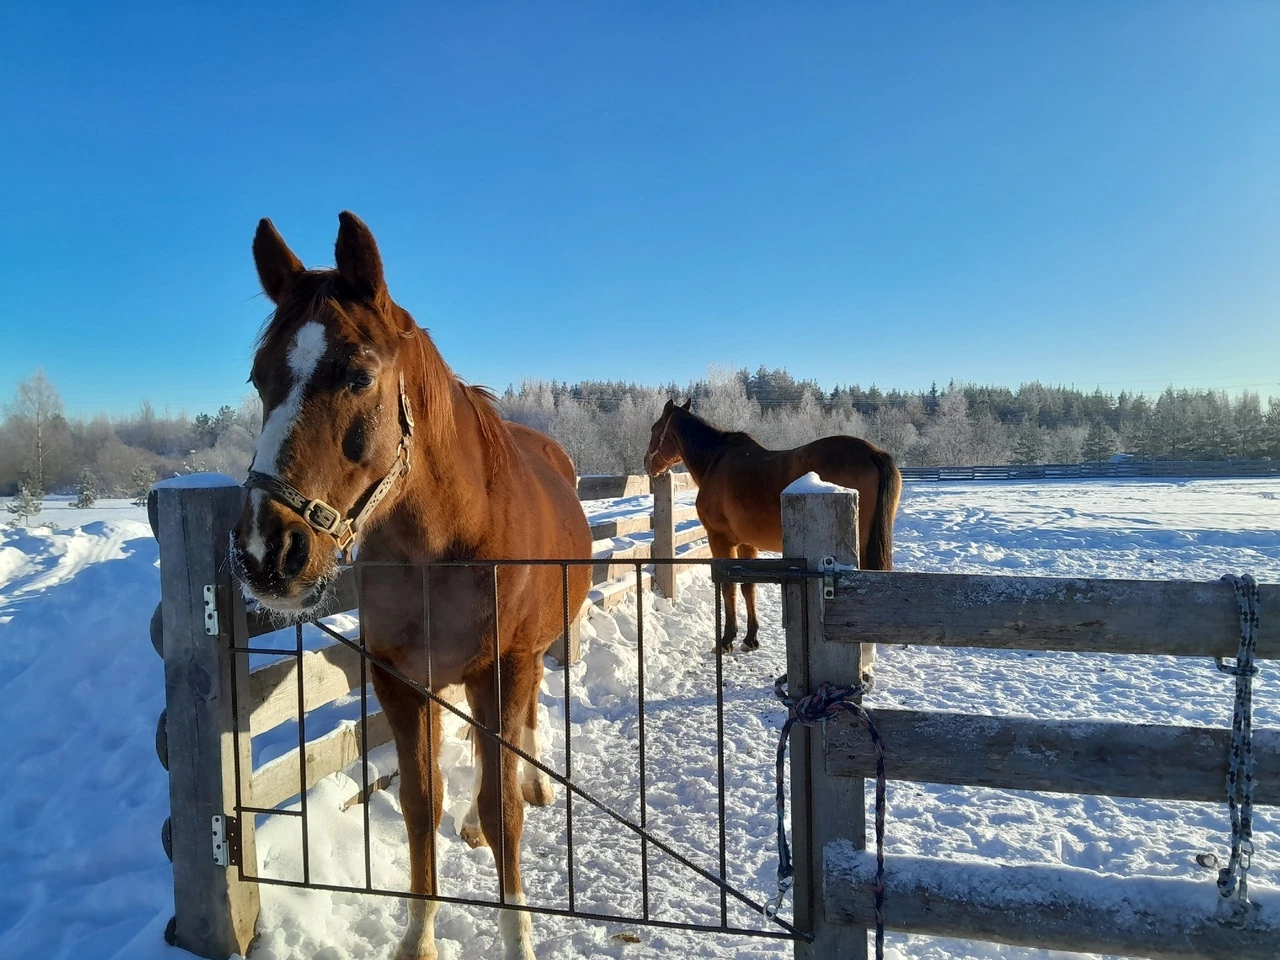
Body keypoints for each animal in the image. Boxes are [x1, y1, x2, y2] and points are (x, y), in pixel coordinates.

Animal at [230, 212, 588, 960]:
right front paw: (418, 937)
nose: (264, 553)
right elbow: (425, 805)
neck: (445, 541)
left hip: (530, 654)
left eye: (360, 375)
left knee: (523, 728)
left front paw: (518, 937)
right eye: (258, 377)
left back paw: (535, 781)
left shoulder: (504, 667)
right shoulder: (401, 680)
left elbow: (503, 808)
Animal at [640, 399, 901, 655]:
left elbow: (728, 587)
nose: (646, 464)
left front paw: (726, 640)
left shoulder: (720, 539)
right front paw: (750, 638)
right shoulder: (747, 543)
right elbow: (748, 587)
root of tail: (873, 453)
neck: (714, 461)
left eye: (654, 428)